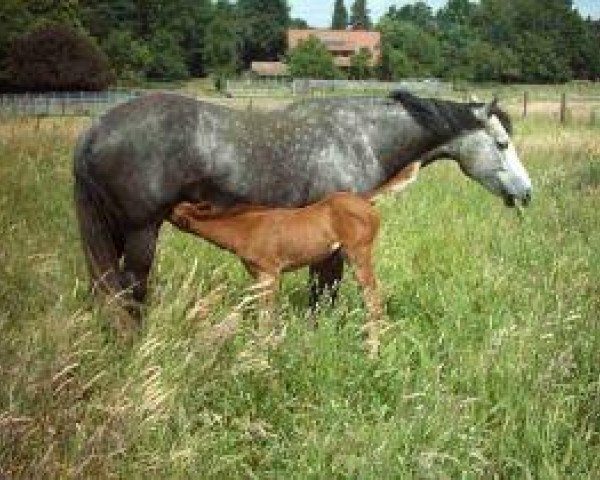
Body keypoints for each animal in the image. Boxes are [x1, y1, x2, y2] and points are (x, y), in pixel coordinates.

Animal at [74, 92, 528, 320]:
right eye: (502, 143)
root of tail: (96, 129)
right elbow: (325, 293)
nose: (527, 192)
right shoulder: (334, 245)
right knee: (129, 293)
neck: (359, 136)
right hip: (141, 234)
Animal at [169, 192, 384, 356]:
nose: (163, 209)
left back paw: (372, 352)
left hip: (358, 255)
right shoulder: (258, 275)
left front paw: (262, 351)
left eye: (173, 211)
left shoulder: (269, 272)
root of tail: (369, 205)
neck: (245, 228)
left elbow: (266, 314)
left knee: (372, 297)